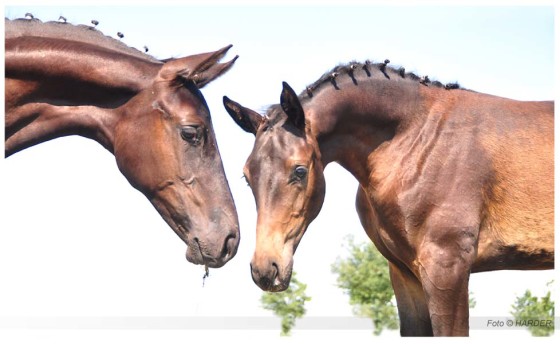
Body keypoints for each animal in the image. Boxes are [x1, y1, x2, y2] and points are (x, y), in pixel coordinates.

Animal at [224, 59, 556, 336]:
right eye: (247, 176)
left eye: (300, 170)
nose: (265, 269)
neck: (417, 140)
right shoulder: (406, 274)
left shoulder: (448, 269)